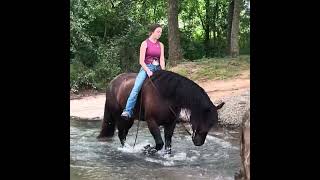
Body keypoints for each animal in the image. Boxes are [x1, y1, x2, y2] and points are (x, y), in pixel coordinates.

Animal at [97, 69, 225, 154]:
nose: (199, 142)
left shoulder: (171, 123)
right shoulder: (151, 122)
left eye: (211, 124)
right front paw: (146, 148)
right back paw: (127, 149)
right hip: (120, 118)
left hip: (129, 120)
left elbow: (168, 145)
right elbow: (159, 143)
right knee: (121, 135)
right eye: (201, 119)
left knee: (123, 134)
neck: (166, 96)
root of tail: (112, 82)